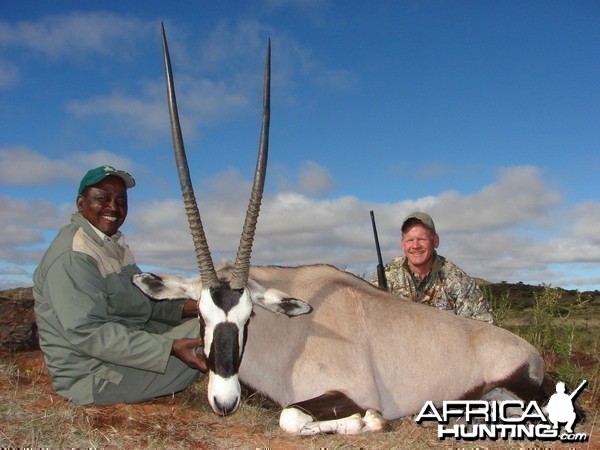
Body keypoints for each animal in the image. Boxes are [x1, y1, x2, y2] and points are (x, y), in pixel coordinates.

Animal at [134, 25, 552, 436]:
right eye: (202, 317)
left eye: (248, 318)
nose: (224, 401)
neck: (293, 332)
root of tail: (530, 352)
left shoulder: (349, 390)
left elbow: (291, 416)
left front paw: (368, 420)